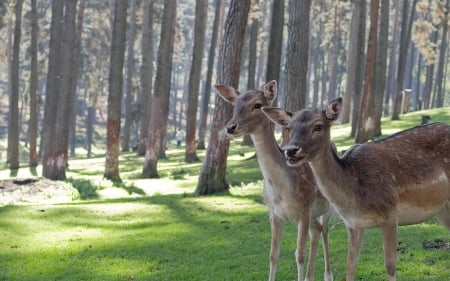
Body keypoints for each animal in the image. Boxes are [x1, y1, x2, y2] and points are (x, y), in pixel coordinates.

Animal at [214, 79, 334, 280]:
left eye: (257, 105)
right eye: (234, 105)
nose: (230, 127)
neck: (283, 191)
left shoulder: (304, 210)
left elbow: (299, 254)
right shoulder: (274, 213)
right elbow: (273, 255)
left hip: (328, 206)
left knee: (324, 231)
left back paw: (328, 275)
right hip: (314, 214)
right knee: (317, 232)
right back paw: (311, 276)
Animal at [262, 96, 450, 280]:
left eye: (318, 126)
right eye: (289, 128)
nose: (291, 150)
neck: (354, 197)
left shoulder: (391, 213)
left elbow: (390, 267)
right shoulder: (353, 224)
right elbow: (350, 269)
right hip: (442, 210)